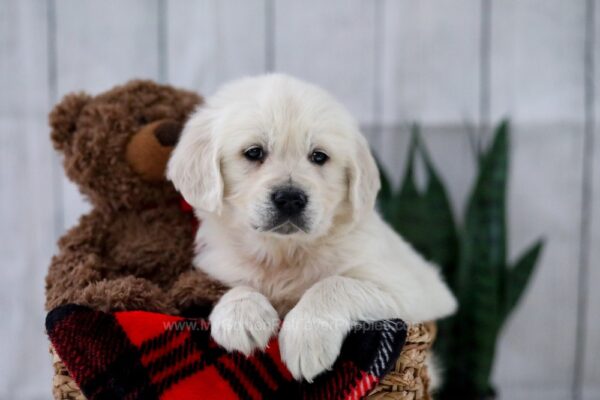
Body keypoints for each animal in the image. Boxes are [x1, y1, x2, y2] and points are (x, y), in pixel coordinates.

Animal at [166, 73, 458, 382]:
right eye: (254, 152)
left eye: (319, 156)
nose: (290, 199)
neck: (283, 252)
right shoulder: (218, 270)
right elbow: (236, 285)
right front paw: (241, 316)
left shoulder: (411, 288)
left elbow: (335, 283)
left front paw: (306, 337)